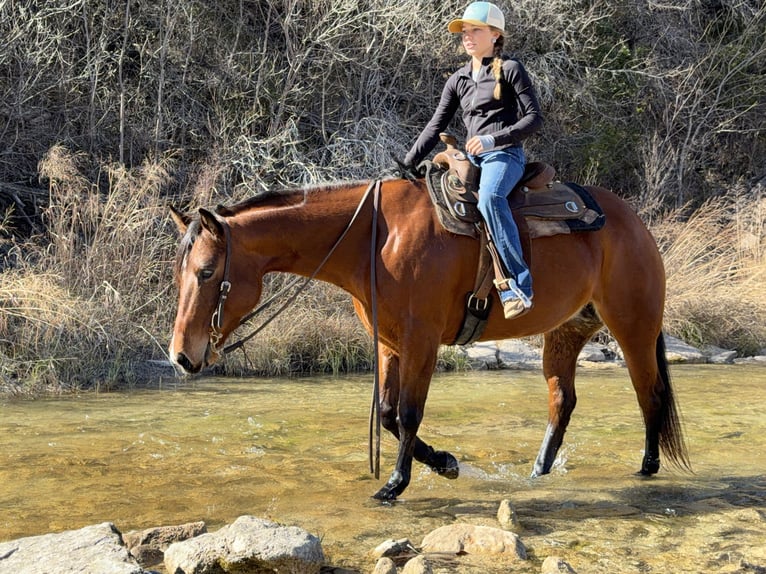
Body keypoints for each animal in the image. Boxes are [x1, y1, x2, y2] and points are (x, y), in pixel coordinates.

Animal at [168, 175, 690, 501]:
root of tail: (634, 222)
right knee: (562, 400)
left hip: (633, 326)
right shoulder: (389, 344)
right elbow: (386, 415)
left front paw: (395, 484)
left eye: (207, 271)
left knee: (649, 393)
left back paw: (646, 468)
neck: (374, 240)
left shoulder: (422, 343)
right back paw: (538, 472)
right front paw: (444, 462)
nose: (181, 357)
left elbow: (407, 413)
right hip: (566, 332)